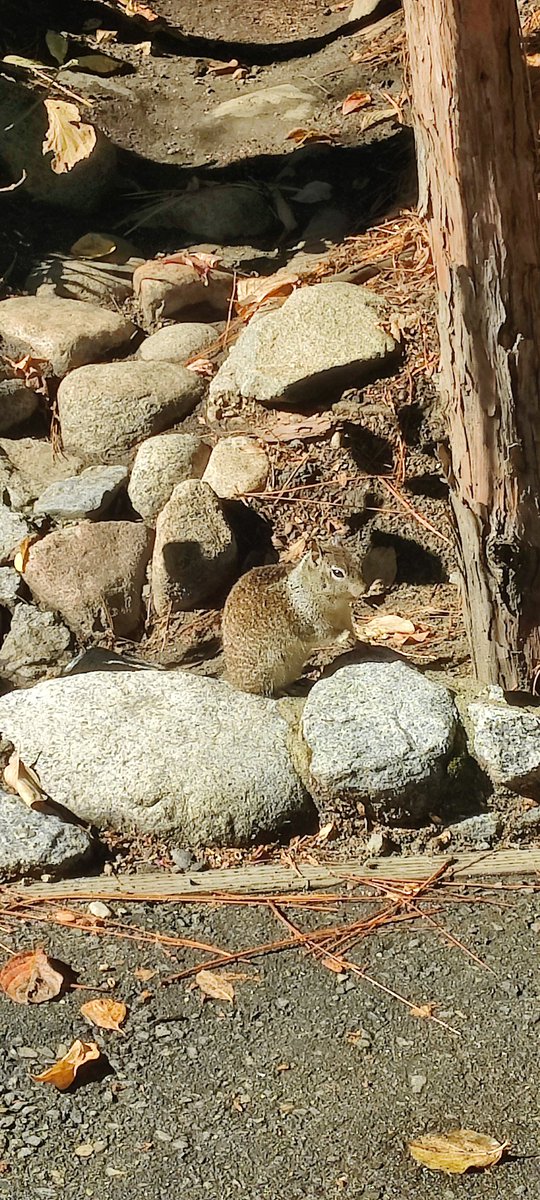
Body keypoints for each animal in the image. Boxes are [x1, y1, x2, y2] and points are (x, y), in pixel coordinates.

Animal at [222, 543, 365, 695]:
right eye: (337, 573)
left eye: (358, 563)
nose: (363, 589)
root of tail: (235, 680)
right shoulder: (310, 624)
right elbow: (326, 635)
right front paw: (344, 637)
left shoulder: (345, 616)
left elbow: (350, 627)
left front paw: (358, 640)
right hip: (270, 668)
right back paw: (285, 690)